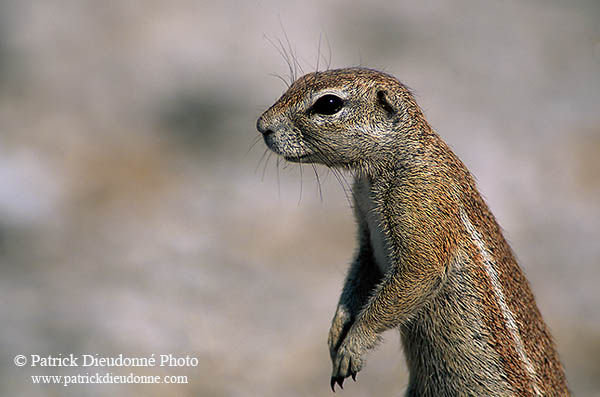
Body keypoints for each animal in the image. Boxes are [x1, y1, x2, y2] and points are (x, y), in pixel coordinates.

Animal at [255, 66, 564, 394]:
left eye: (328, 104)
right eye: (299, 81)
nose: (262, 125)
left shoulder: (421, 203)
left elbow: (419, 274)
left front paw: (354, 345)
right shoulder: (367, 238)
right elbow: (359, 274)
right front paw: (336, 331)